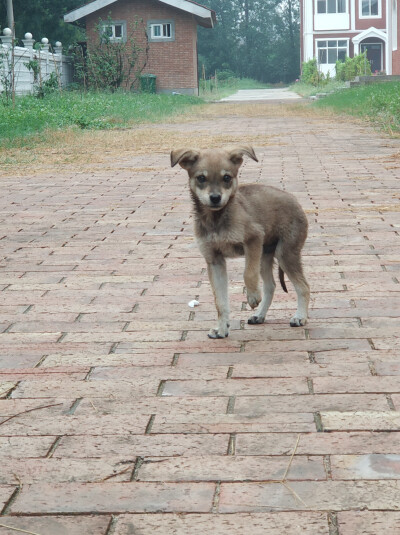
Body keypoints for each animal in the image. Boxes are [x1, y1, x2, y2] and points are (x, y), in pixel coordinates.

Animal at [169, 147, 310, 340]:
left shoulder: (253, 239)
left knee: (303, 287)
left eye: (227, 178)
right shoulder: (215, 261)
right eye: (201, 178)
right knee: (271, 286)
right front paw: (222, 329)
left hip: (284, 254)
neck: (216, 219)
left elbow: (247, 274)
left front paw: (252, 296)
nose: (215, 198)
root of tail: (295, 200)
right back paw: (259, 315)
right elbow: (220, 302)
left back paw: (300, 317)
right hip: (265, 256)